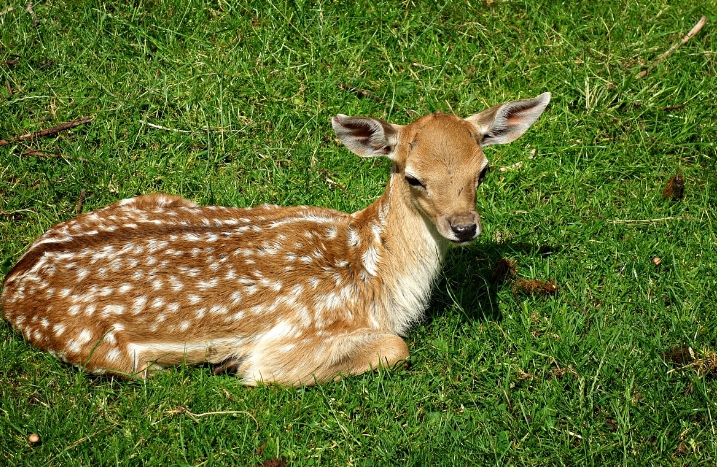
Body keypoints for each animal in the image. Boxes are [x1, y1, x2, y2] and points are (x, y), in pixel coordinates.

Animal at [0, 92, 548, 388]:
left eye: (483, 169)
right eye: (413, 177)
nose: (465, 226)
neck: (375, 272)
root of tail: (13, 280)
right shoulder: (293, 338)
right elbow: (396, 347)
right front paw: (233, 365)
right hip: (96, 348)